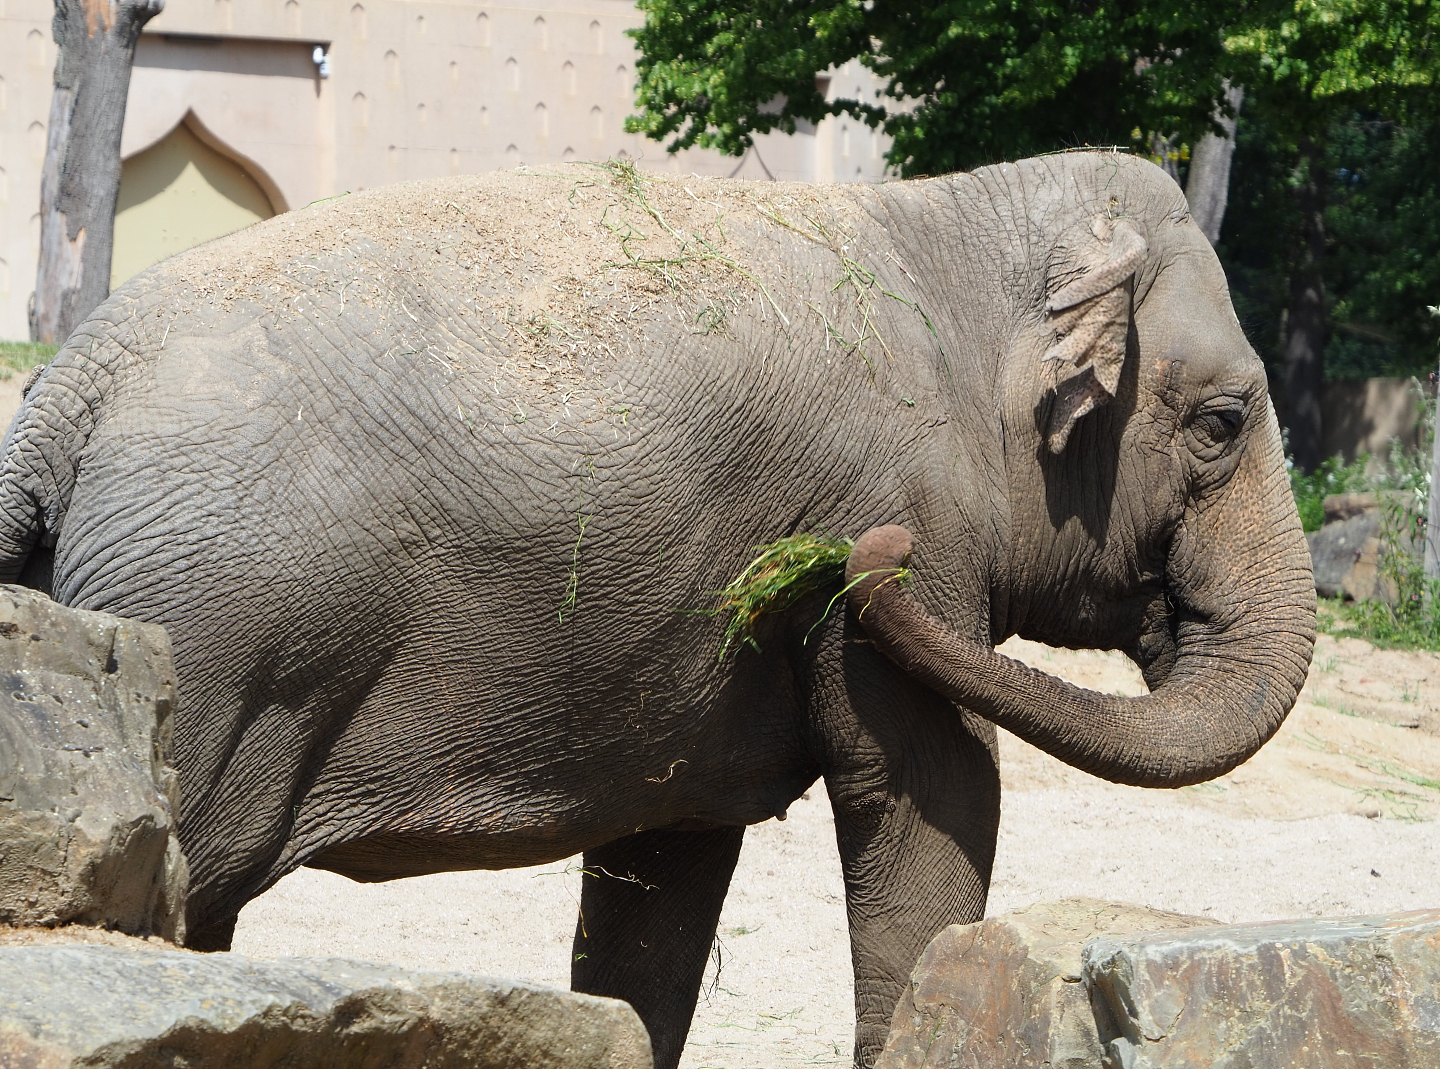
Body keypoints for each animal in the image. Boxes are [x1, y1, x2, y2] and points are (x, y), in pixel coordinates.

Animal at [0, 152, 1314, 1068]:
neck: (950, 221)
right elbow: (931, 796)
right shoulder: (918, 518)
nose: (851, 559)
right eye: (1223, 424)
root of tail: (63, 395)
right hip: (222, 649)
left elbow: (663, 868)